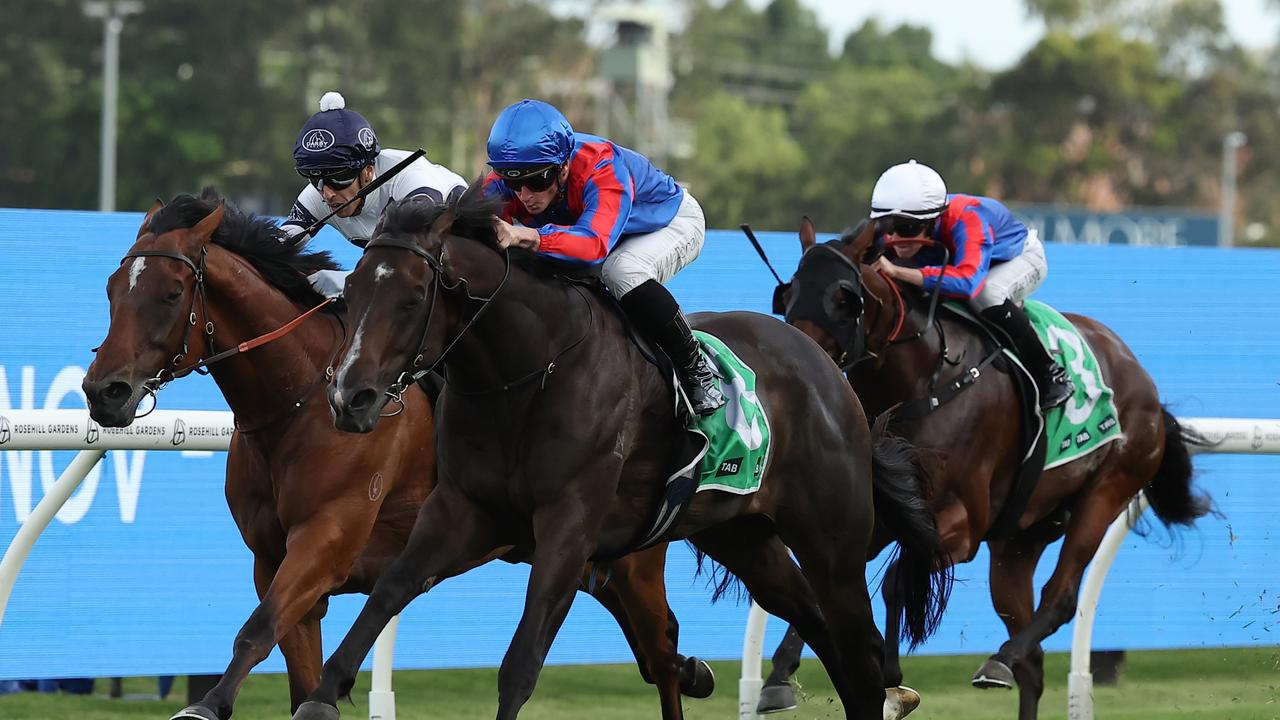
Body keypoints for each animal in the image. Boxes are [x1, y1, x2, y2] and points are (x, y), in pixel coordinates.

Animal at [80, 190, 716, 717]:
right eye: (111, 291)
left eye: (169, 295)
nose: (103, 391)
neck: (299, 401)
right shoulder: (272, 559)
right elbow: (294, 663)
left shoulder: (327, 539)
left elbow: (257, 630)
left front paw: (206, 705)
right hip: (587, 559)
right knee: (659, 648)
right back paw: (698, 671)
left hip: (622, 552)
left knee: (659, 654)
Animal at [293, 185, 952, 717]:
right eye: (351, 289)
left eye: (412, 297)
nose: (348, 396)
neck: (527, 371)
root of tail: (831, 372)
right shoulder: (461, 510)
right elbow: (387, 593)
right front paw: (322, 697)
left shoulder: (569, 525)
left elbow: (521, 663)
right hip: (743, 536)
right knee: (818, 626)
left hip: (831, 538)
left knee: (857, 650)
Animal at [762, 219, 1213, 717]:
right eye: (788, 293)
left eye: (845, 298)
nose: (799, 351)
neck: (923, 381)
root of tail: (1141, 376)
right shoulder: (878, 514)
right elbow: (829, 583)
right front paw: (779, 677)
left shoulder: (962, 524)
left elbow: (895, 582)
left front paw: (889, 675)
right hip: (1018, 541)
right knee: (1033, 663)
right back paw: (1011, 662)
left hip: (1107, 490)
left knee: (1061, 598)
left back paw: (999, 659)